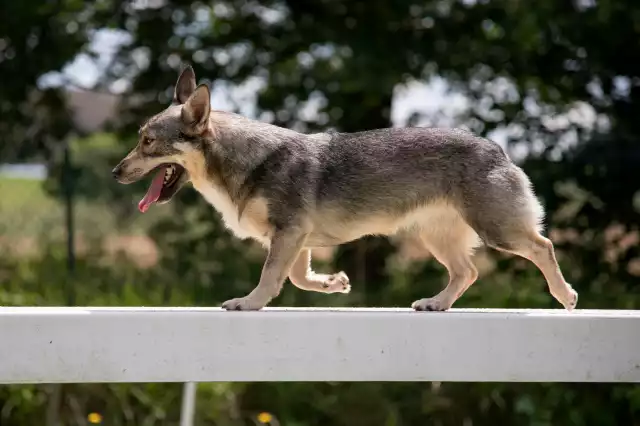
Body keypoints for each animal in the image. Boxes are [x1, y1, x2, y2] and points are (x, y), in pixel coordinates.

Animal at [112, 67, 576, 312]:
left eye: (147, 142)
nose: (116, 172)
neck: (242, 160)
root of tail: (497, 147)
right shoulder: (294, 239)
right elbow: (298, 277)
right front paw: (333, 283)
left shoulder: (288, 234)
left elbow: (271, 277)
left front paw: (249, 302)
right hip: (436, 237)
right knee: (468, 272)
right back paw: (437, 303)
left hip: (497, 231)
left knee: (544, 247)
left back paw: (564, 295)